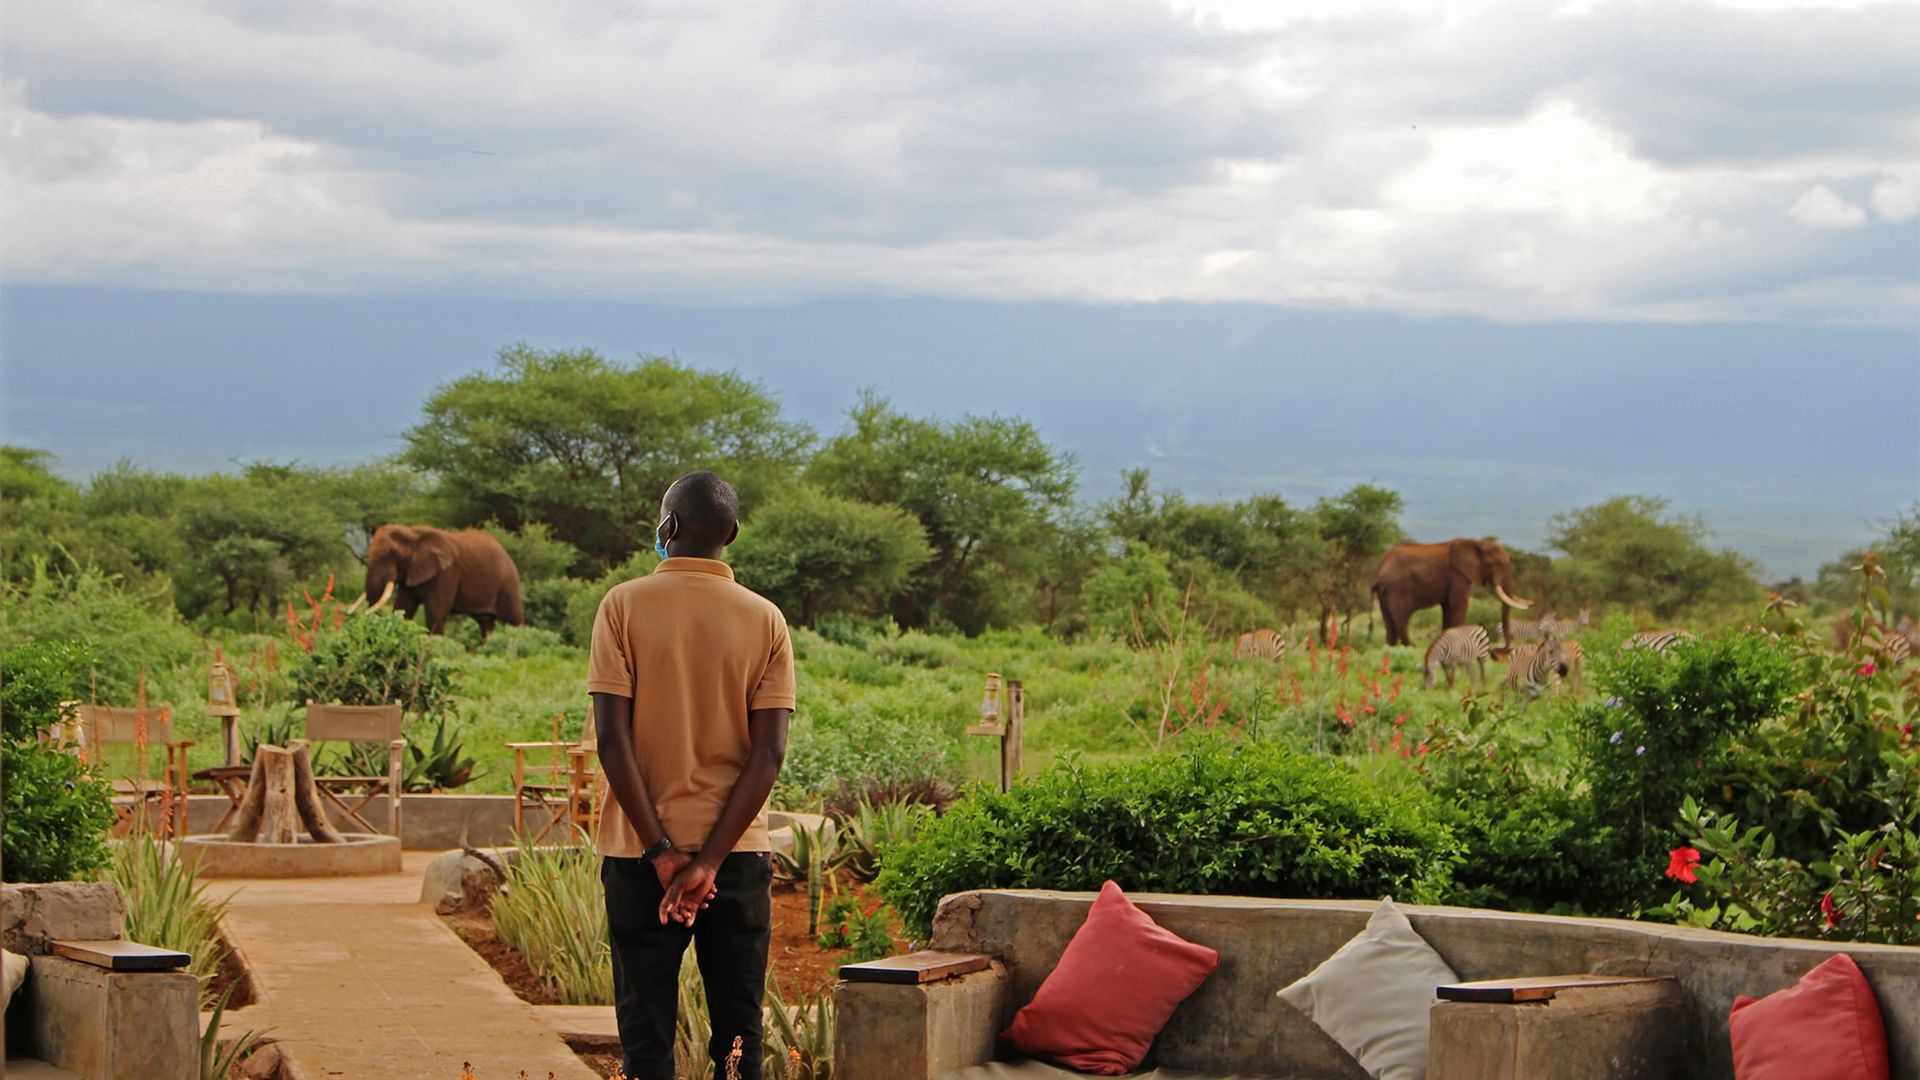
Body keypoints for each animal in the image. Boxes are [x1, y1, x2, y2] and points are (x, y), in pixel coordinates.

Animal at [351, 522, 526, 634]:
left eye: (393, 555)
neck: (411, 531)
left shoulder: (446, 573)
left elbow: (435, 614)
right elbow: (403, 608)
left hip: (508, 582)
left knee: (513, 622)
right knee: (486, 624)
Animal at [1374, 534, 1536, 641]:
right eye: (1495, 564)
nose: (1505, 653)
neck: (1476, 543)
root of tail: (1380, 567)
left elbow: (1448, 608)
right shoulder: (1457, 576)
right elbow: (1458, 606)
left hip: (1385, 593)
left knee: (1389, 622)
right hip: (1398, 588)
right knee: (1401, 620)